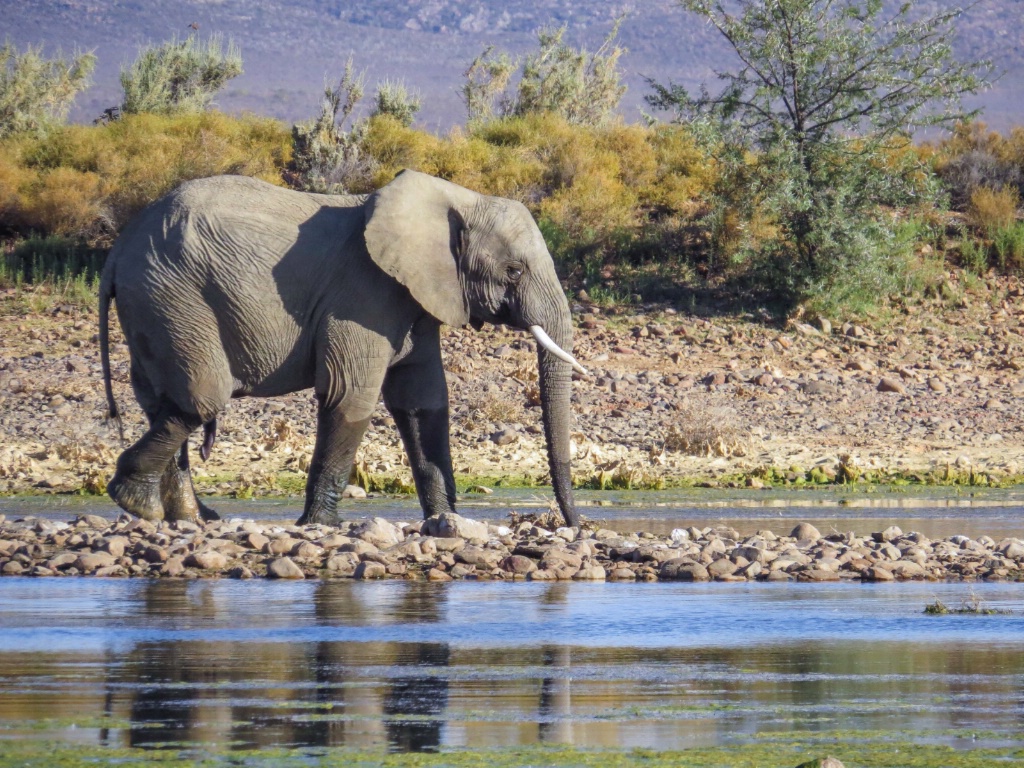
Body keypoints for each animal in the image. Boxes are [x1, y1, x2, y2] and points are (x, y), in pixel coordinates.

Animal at [100, 167, 589, 528]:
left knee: (164, 402)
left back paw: (187, 518)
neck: (457, 198)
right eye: (513, 271)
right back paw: (138, 503)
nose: (574, 525)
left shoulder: (412, 299)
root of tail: (118, 250)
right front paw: (322, 526)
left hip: (155, 307)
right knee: (200, 399)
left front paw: (445, 522)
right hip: (172, 297)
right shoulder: (362, 293)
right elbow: (350, 396)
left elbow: (423, 403)